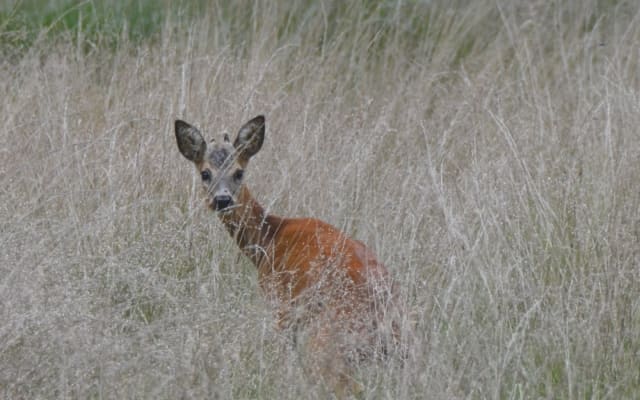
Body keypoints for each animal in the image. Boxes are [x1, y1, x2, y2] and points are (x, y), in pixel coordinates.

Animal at [175, 115, 400, 394]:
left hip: (327, 341)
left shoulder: (279, 304)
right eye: (205, 173)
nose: (222, 199)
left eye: (239, 172)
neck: (269, 239)